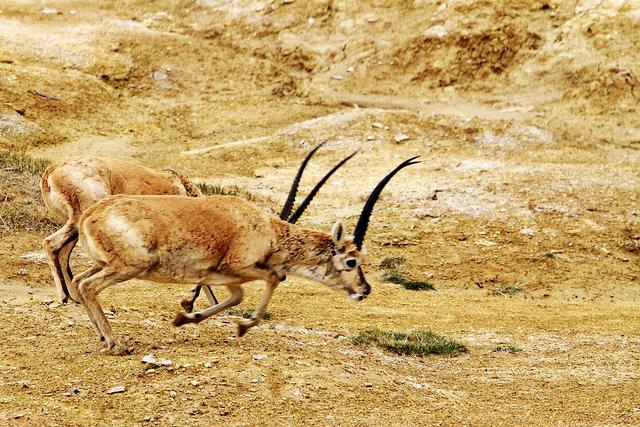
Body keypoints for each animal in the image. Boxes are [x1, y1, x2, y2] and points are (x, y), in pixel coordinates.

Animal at [72, 157, 420, 354]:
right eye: (351, 261)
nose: (364, 289)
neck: (267, 229)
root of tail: (90, 215)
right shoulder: (239, 267)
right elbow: (273, 278)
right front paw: (242, 326)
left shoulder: (222, 276)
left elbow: (236, 296)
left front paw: (185, 318)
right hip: (129, 266)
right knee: (88, 286)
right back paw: (116, 345)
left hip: (105, 263)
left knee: (78, 280)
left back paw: (103, 337)